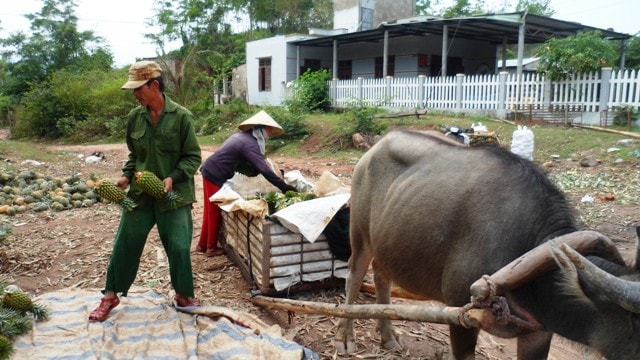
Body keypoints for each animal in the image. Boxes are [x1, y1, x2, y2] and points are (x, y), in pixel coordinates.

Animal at [336, 129, 640, 360]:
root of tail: (378, 145)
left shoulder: (539, 333)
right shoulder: (461, 318)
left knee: (382, 277)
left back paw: (388, 335)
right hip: (359, 234)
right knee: (354, 276)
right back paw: (345, 337)